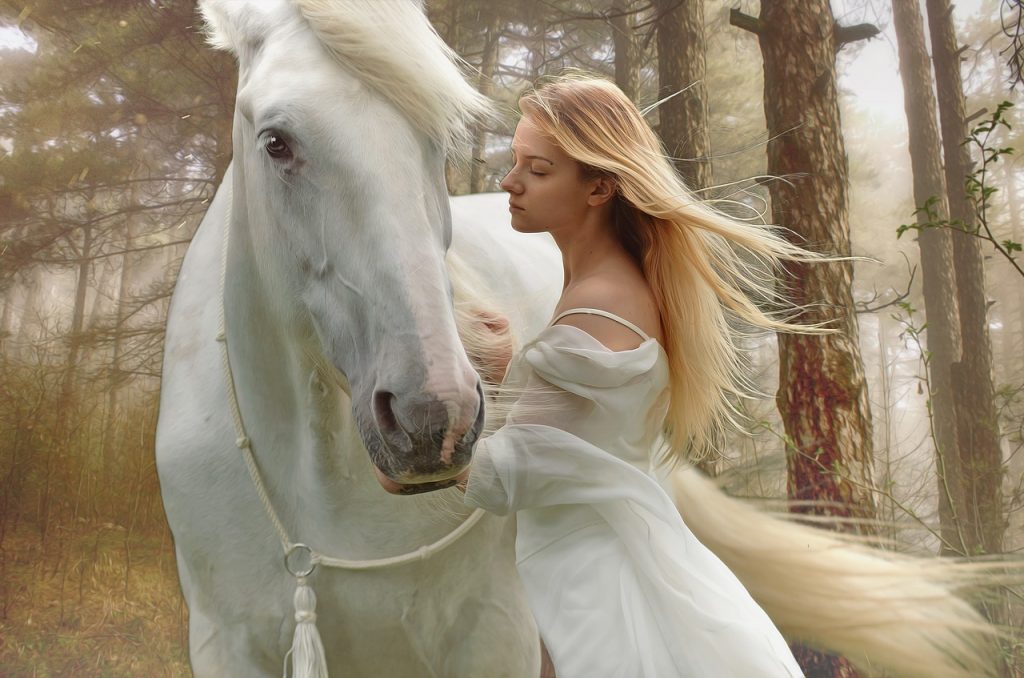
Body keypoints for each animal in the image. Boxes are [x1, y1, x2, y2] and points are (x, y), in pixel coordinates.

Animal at [157, 1, 1015, 675]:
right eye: (276, 142)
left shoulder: (488, 637)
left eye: (438, 138)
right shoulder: (230, 644)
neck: (320, 481)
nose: (433, 417)